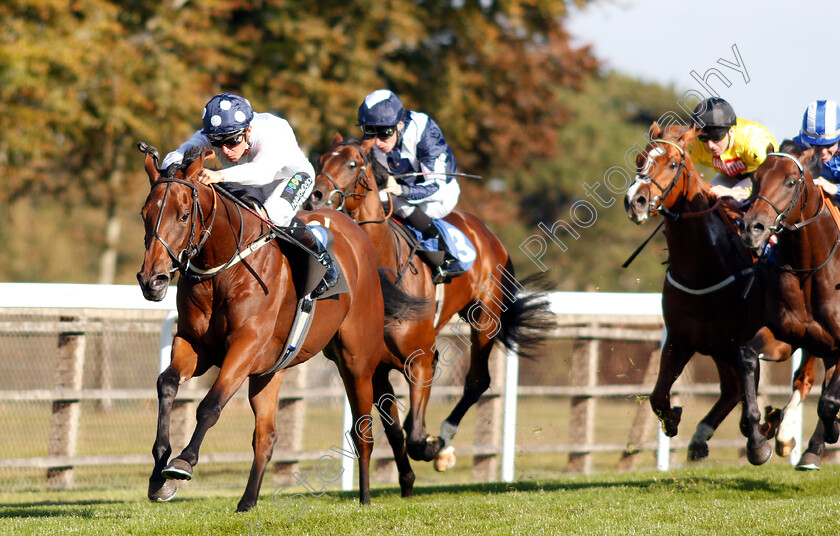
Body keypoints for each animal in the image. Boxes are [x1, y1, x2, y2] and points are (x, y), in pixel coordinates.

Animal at [135, 142, 414, 510]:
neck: (224, 267)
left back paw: (366, 498)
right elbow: (166, 384)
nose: (151, 280)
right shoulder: (196, 345)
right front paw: (158, 472)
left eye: (183, 215)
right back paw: (247, 501)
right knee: (266, 437)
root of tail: (356, 231)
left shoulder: (245, 345)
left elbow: (210, 404)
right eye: (145, 214)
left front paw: (182, 462)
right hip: (270, 372)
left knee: (362, 431)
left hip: (357, 362)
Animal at [306, 134, 556, 478]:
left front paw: (434, 447)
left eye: (352, 163)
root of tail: (485, 231)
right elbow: (395, 430)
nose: (315, 197)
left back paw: (445, 441)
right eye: (321, 160)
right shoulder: (375, 368)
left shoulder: (420, 360)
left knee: (477, 381)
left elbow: (414, 436)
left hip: (485, 318)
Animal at [624, 122, 812, 460]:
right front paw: (674, 419)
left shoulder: (754, 340)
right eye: (639, 160)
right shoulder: (682, 339)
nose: (635, 201)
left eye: (673, 163)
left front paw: (764, 432)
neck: (704, 268)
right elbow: (658, 396)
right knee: (731, 389)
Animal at [740, 141, 836, 464]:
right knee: (805, 380)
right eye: (755, 178)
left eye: (791, 182)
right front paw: (758, 440)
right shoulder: (786, 336)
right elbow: (747, 355)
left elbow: (829, 401)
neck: (811, 266)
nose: (752, 227)